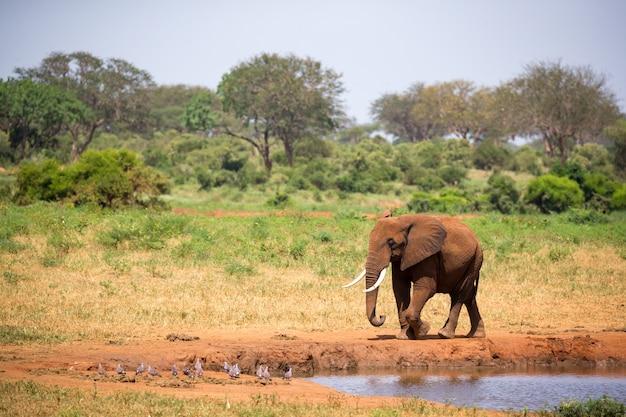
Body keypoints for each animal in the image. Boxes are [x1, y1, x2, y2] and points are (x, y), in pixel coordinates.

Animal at [342, 210, 482, 340]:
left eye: (391, 242)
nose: (382, 316)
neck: (403, 222)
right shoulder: (401, 257)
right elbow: (400, 288)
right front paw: (405, 337)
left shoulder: (428, 256)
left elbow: (426, 288)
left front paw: (423, 331)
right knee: (469, 296)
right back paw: (476, 335)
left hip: (474, 261)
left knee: (459, 294)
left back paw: (445, 334)